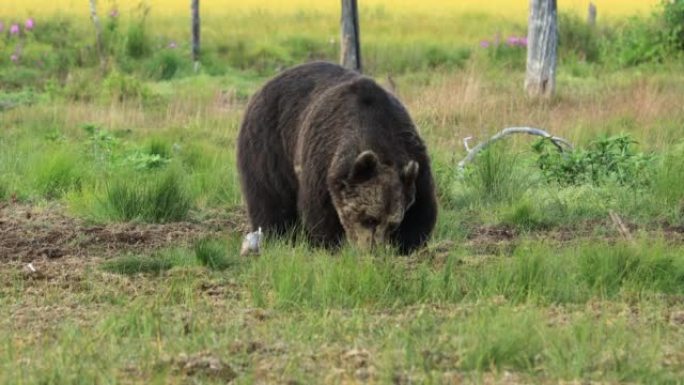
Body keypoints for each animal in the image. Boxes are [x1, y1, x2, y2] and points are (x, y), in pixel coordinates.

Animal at [235, 60, 438, 252]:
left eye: (393, 224)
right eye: (369, 219)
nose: (372, 250)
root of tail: (267, 83)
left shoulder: (413, 155)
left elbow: (421, 209)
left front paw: (408, 244)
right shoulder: (323, 159)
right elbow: (320, 212)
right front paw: (330, 244)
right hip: (270, 142)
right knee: (270, 195)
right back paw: (276, 234)